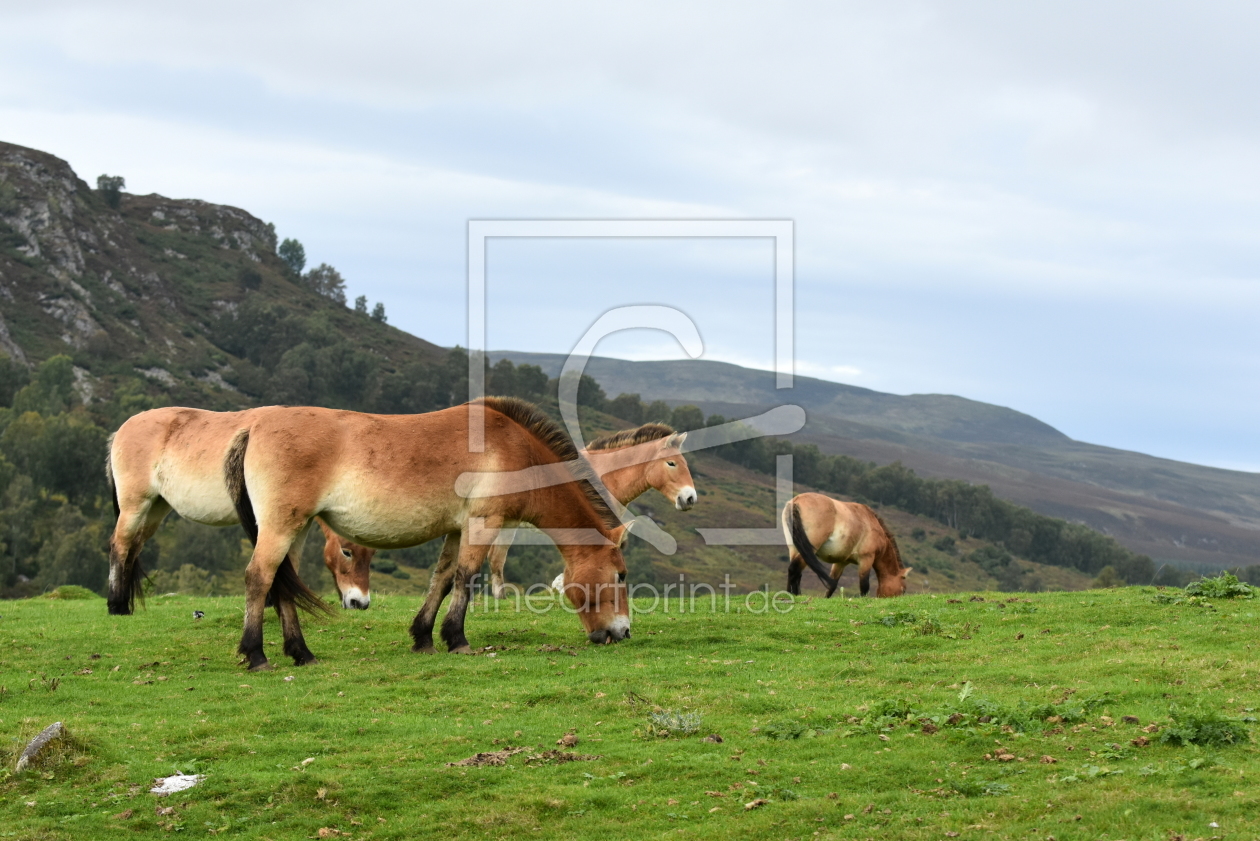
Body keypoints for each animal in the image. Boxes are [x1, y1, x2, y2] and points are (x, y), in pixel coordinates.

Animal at [106, 406, 372, 612]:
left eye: (371, 554)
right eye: (347, 551)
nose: (360, 603)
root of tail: (123, 428)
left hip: (156, 508)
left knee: (134, 547)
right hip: (135, 505)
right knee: (120, 544)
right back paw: (116, 606)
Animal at [223, 400, 635, 670]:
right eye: (621, 575)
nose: (623, 632)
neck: (517, 450)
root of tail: (253, 428)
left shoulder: (456, 529)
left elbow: (442, 578)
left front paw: (423, 638)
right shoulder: (483, 522)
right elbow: (466, 577)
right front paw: (457, 640)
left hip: (298, 527)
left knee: (283, 581)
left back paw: (301, 653)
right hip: (281, 526)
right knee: (259, 577)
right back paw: (256, 655)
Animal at [781, 494, 912, 597]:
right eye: (903, 590)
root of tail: (796, 500)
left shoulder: (840, 562)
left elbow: (832, 586)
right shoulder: (866, 559)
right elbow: (864, 585)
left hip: (795, 549)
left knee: (794, 571)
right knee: (795, 569)